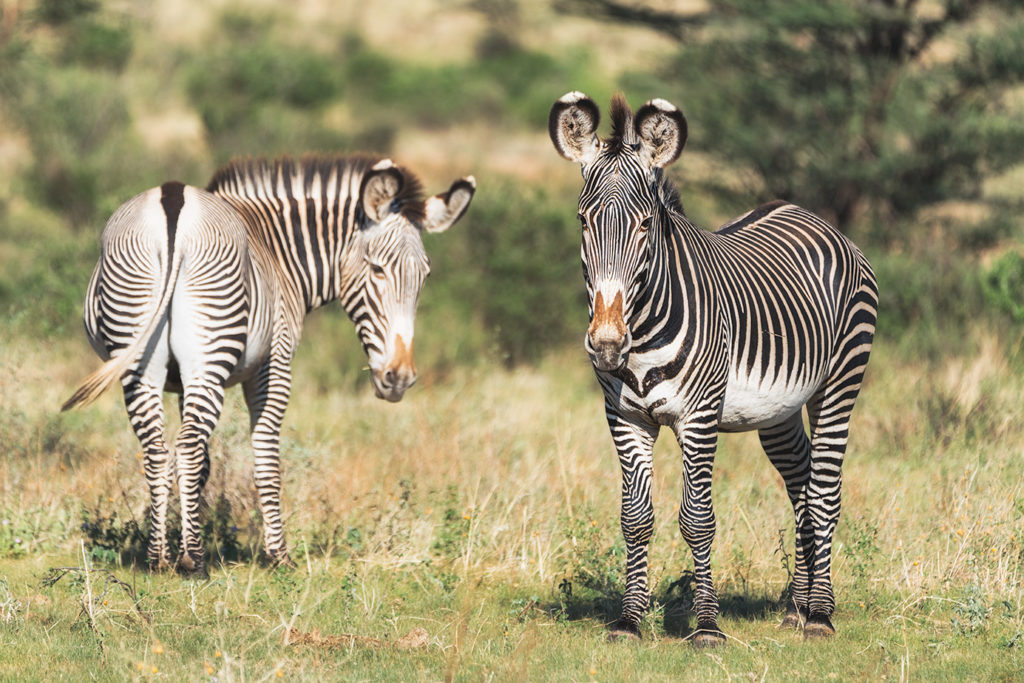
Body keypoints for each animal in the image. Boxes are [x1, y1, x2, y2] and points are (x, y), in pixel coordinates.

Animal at [64, 156, 475, 577]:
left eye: (424, 275)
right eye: (377, 270)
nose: (400, 378)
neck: (281, 256)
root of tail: (173, 203)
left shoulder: (179, 380)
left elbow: (203, 465)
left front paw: (193, 531)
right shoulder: (273, 365)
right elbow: (266, 459)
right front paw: (278, 554)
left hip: (141, 358)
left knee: (160, 448)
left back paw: (157, 557)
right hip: (209, 353)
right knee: (189, 446)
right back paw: (194, 560)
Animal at [548, 92, 876, 647]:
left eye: (645, 224)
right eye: (583, 222)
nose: (607, 344)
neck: (643, 330)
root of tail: (812, 216)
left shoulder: (698, 416)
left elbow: (697, 519)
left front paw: (706, 626)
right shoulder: (625, 418)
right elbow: (635, 518)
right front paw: (629, 621)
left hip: (839, 383)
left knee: (825, 490)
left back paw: (821, 614)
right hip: (778, 411)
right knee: (801, 485)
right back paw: (796, 607)